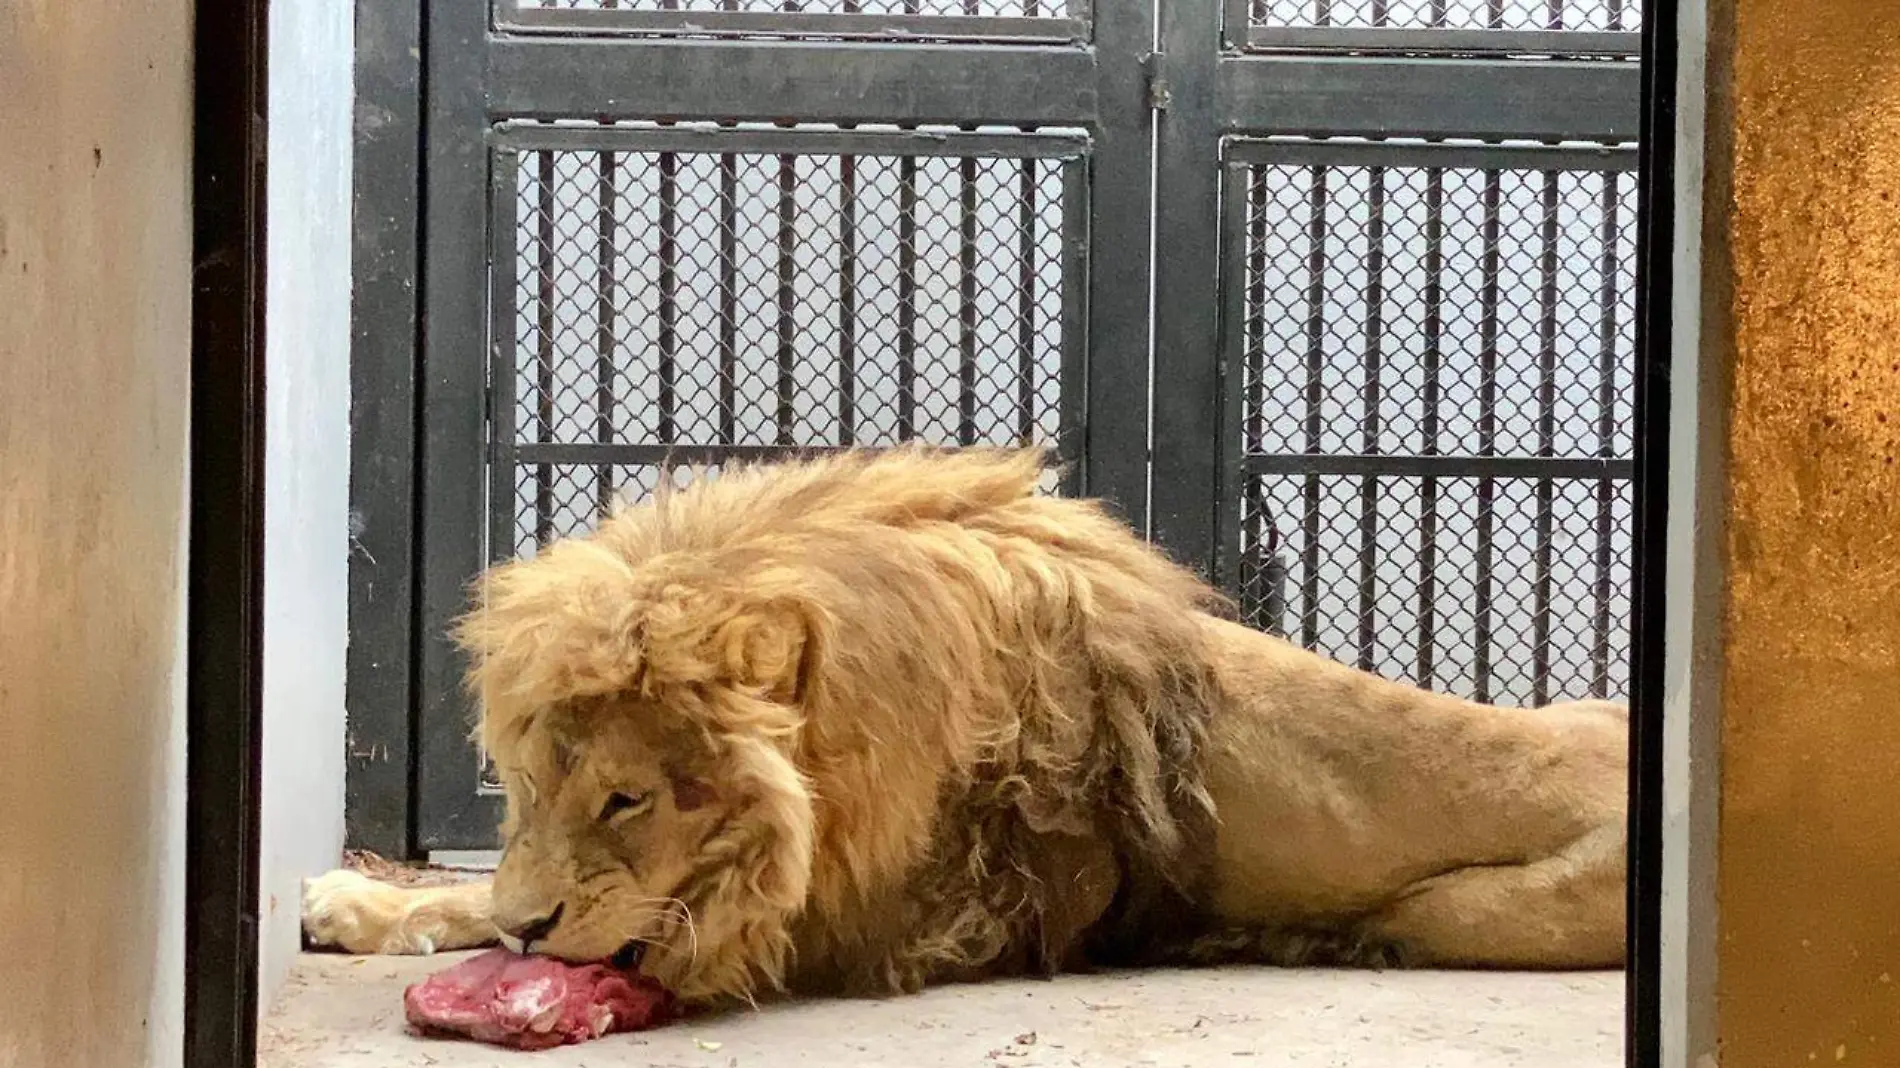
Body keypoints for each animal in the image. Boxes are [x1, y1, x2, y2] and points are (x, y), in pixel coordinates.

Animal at [304, 444, 1626, 1003]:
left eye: (626, 798)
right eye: (525, 791)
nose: (535, 932)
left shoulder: (894, 921)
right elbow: (465, 896)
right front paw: (359, 903)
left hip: (1453, 908)